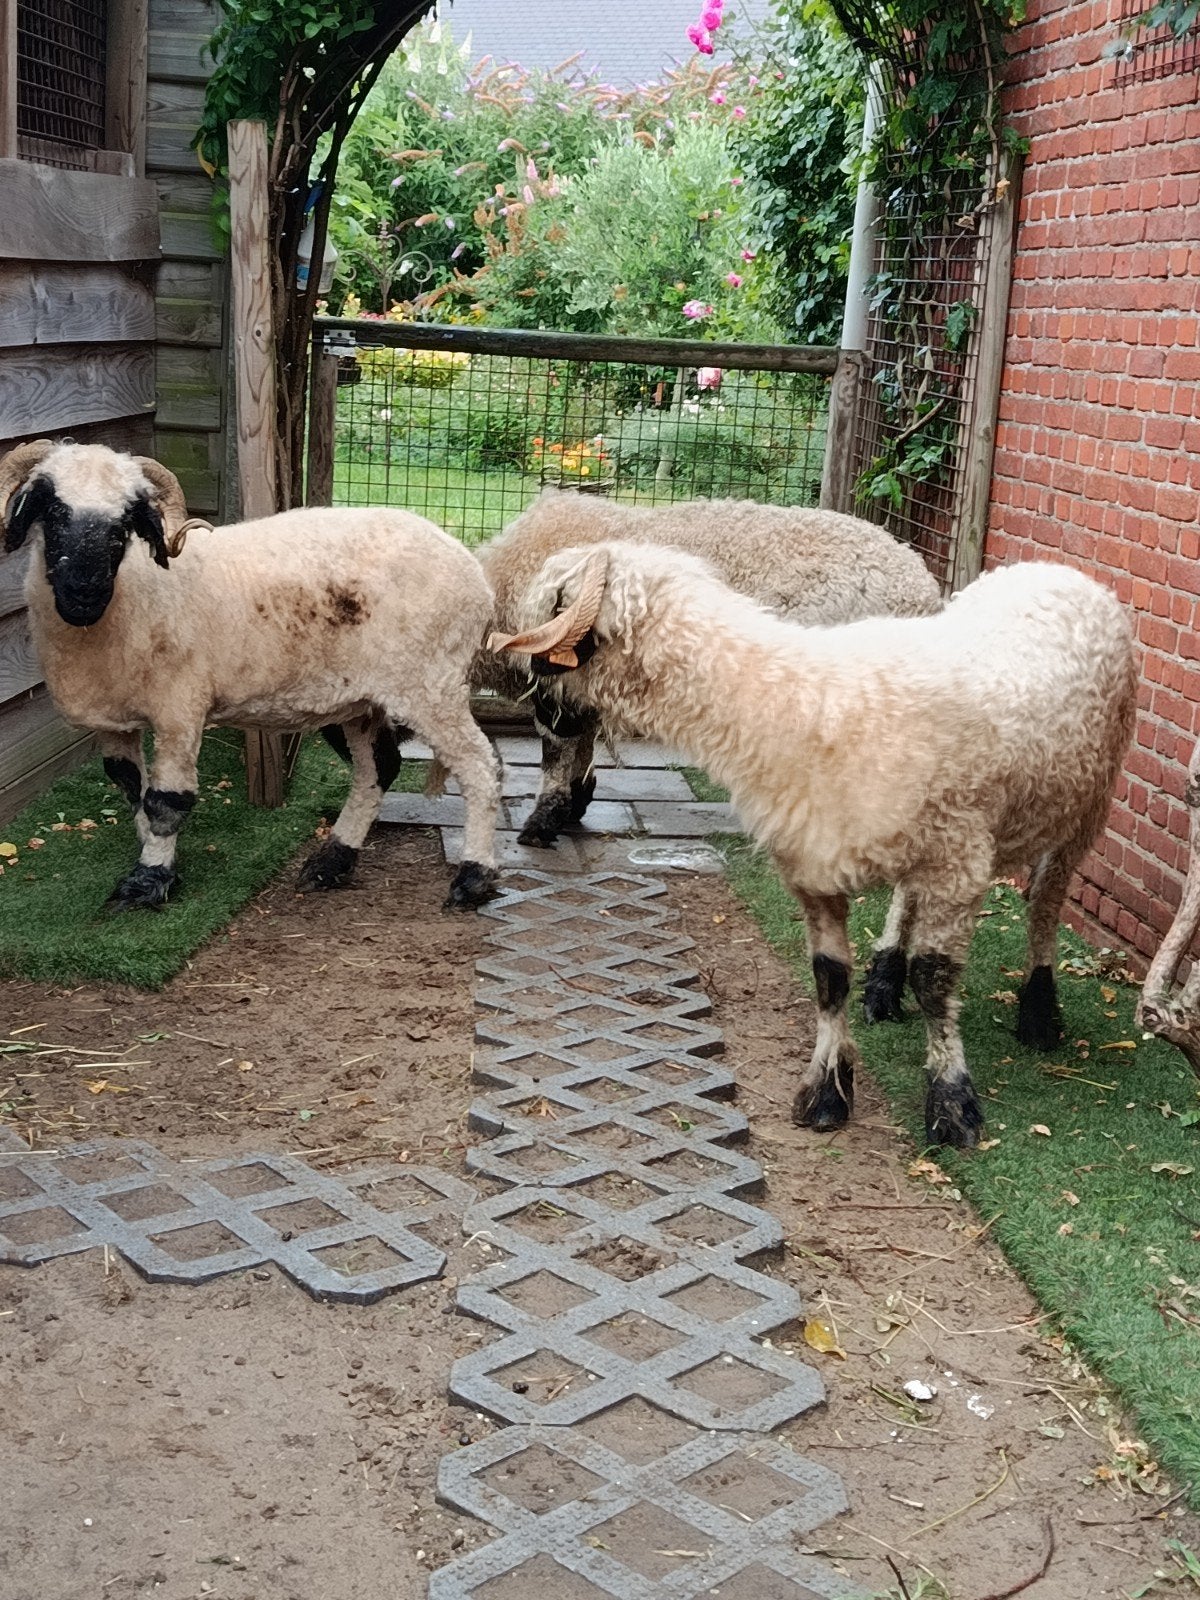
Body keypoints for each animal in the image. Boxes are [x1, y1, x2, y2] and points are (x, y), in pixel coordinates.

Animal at [0, 439, 500, 911]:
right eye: (51, 508)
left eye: (126, 520)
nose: (84, 589)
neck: (134, 594)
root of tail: (470, 566)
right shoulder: (115, 721)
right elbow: (129, 787)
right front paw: (160, 859)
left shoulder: (180, 707)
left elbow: (166, 801)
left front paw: (147, 882)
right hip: (360, 701)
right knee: (378, 768)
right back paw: (331, 863)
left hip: (430, 684)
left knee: (479, 765)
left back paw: (473, 878)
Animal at [473, 490, 943, 847]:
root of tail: (920, 592)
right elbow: (582, 739)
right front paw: (575, 801)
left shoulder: (555, 669)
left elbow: (557, 745)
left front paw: (542, 822)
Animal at [489, 542, 1137, 1148]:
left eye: (551, 651)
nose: (549, 719)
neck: (801, 702)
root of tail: (1057, 572)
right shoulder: (814, 864)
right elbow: (829, 978)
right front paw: (826, 1092)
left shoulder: (959, 860)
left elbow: (935, 982)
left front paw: (952, 1104)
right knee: (906, 895)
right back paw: (885, 980)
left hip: (1089, 799)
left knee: (1046, 902)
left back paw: (1039, 1012)